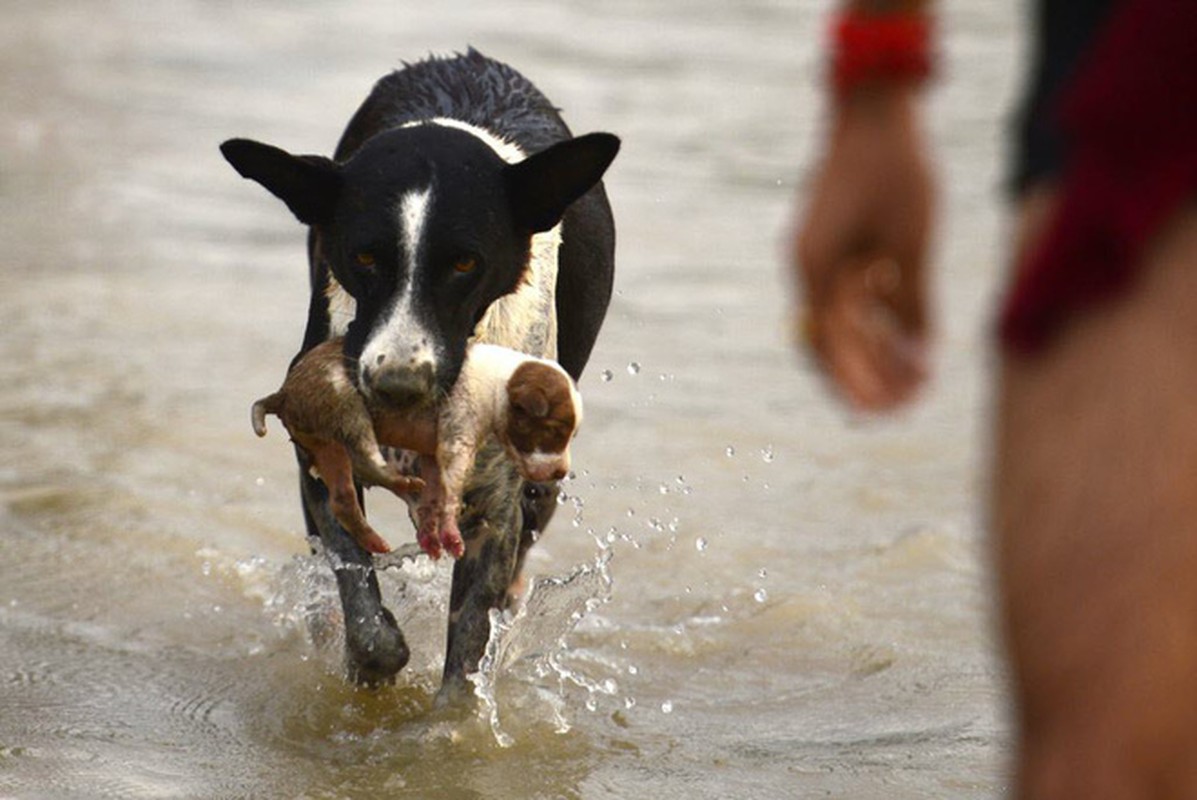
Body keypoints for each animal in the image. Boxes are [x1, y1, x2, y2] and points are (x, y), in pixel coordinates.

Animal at [253, 340, 584, 560]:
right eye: (556, 431)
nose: (561, 472)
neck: (499, 385)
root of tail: (283, 393)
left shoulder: (433, 455)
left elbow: (435, 495)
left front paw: (431, 533)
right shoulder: (456, 440)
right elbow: (450, 494)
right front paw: (450, 534)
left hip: (326, 446)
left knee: (343, 499)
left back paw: (374, 539)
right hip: (345, 404)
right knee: (366, 456)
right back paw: (400, 482)